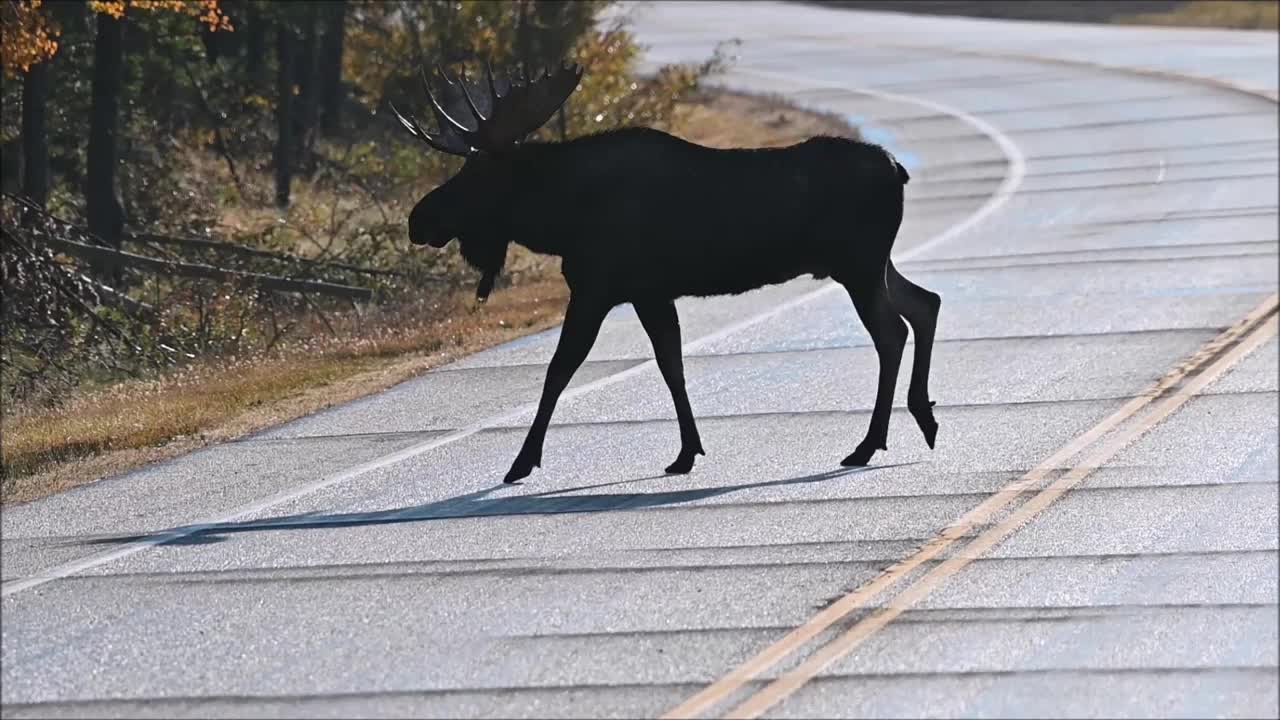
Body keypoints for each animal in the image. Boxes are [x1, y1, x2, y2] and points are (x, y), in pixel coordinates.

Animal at [389, 61, 942, 481]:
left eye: (476, 174)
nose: (418, 218)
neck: (562, 217)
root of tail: (898, 169)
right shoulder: (649, 292)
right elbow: (670, 364)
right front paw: (686, 451)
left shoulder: (597, 287)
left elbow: (559, 370)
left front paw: (522, 462)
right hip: (873, 263)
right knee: (925, 303)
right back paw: (924, 419)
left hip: (859, 265)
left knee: (892, 331)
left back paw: (868, 444)